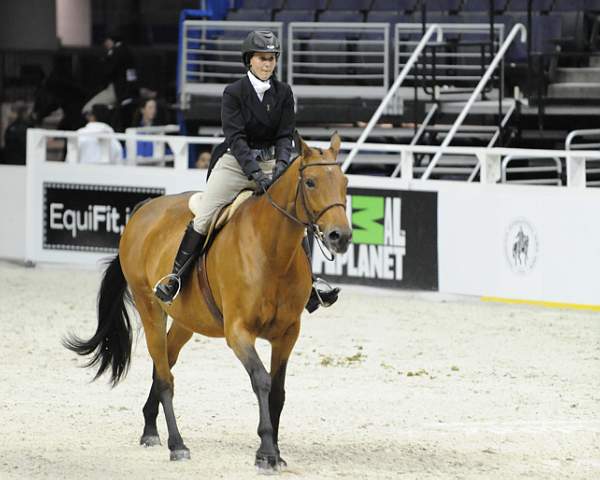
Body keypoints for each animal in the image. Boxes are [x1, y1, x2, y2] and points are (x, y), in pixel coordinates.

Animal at [64, 132, 352, 472]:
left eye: (345, 182)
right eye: (310, 182)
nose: (340, 237)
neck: (271, 252)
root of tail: (146, 208)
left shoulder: (287, 334)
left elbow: (278, 391)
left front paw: (276, 452)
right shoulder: (238, 333)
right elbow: (261, 381)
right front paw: (266, 451)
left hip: (186, 321)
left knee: (164, 365)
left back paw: (150, 428)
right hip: (150, 309)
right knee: (165, 377)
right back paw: (177, 444)